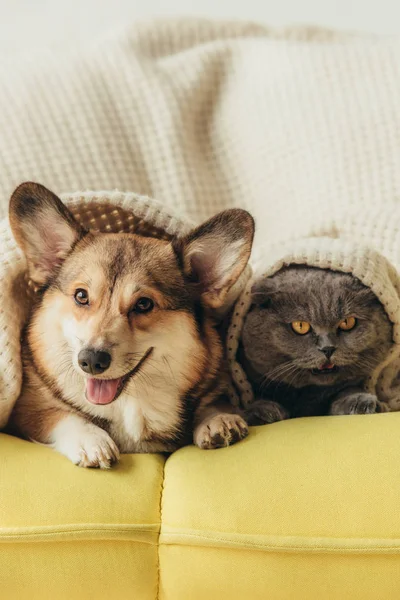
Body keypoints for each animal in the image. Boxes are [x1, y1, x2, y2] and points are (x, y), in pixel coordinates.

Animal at [7, 183, 255, 468]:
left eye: (144, 304)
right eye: (81, 296)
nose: (91, 361)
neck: (132, 403)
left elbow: (215, 402)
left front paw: (218, 419)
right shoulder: (27, 409)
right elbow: (58, 414)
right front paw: (91, 440)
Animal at [241, 268, 394, 422]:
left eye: (347, 322)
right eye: (300, 325)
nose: (327, 348)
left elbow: (347, 388)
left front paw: (359, 400)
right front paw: (262, 410)